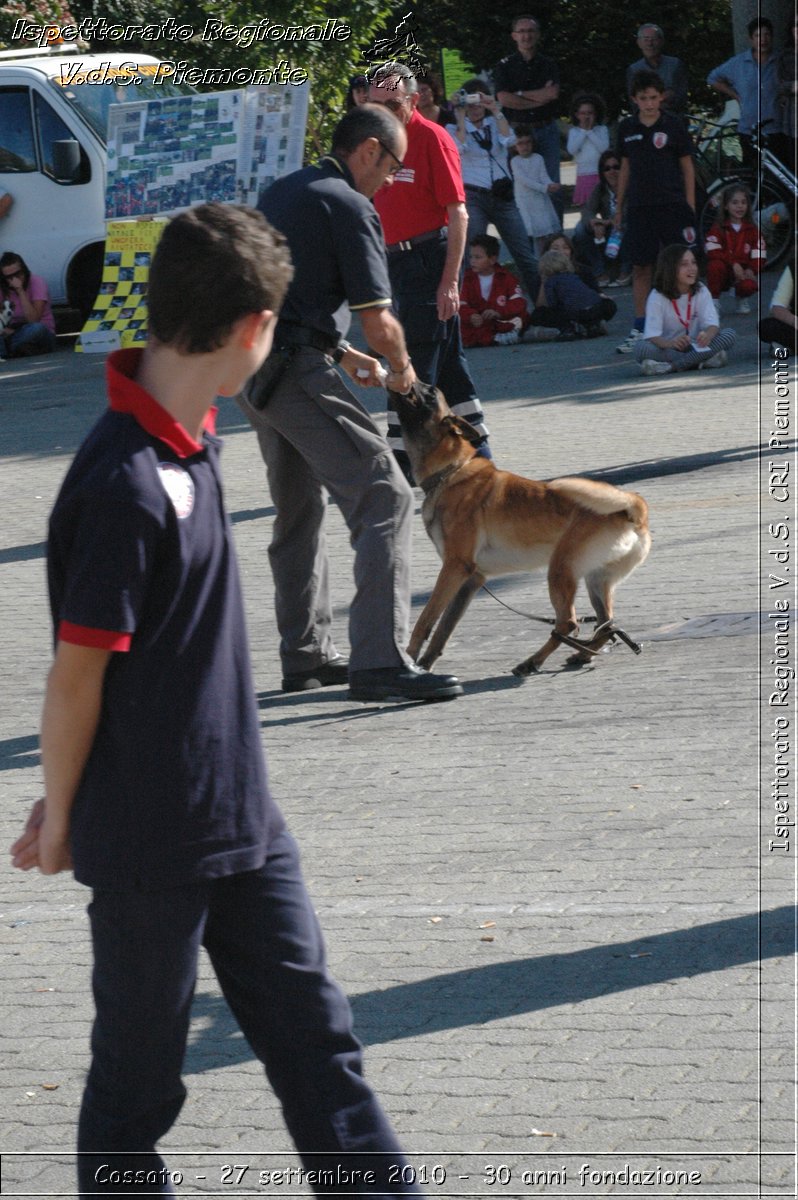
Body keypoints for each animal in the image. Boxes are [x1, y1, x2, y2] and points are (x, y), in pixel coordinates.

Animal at [388, 379, 652, 672]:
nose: (409, 380)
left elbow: (425, 620)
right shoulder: (471, 579)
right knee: (607, 624)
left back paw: (533, 661)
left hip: (560, 570)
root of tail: (633, 509)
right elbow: (444, 628)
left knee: (568, 623)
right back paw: (581, 654)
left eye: (430, 393)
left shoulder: (454, 569)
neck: (451, 471)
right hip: (594, 579)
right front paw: (425, 664)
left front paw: (410, 660)